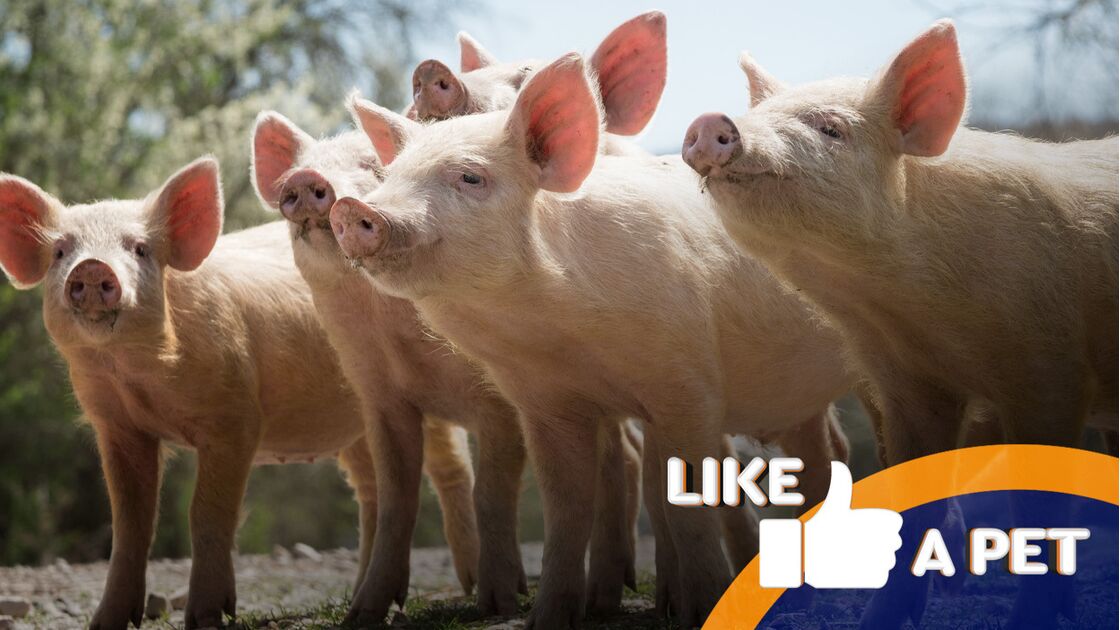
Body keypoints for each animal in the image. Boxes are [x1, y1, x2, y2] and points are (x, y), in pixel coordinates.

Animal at [0, 159, 481, 630]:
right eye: (60, 252)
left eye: (139, 249)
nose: (92, 267)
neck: (138, 378)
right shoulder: (116, 427)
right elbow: (130, 524)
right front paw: (104, 623)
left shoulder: (234, 416)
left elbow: (207, 513)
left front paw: (207, 618)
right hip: (358, 422)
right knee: (371, 490)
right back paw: (358, 605)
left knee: (452, 470)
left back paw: (470, 589)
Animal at [250, 114, 647, 621]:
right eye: (296, 170)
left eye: (374, 166)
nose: (303, 180)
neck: (394, 335)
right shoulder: (379, 396)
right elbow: (397, 500)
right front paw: (363, 613)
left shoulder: (500, 397)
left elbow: (491, 492)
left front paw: (498, 605)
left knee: (622, 456)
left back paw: (605, 596)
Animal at [331, 54, 857, 628]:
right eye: (390, 176)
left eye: (470, 176)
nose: (352, 209)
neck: (564, 336)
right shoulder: (547, 403)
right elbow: (567, 509)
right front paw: (547, 618)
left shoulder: (687, 383)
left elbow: (687, 502)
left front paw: (699, 610)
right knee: (823, 453)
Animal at [681, 20, 1117, 627]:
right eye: (763, 112)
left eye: (831, 128)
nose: (710, 122)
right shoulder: (909, 382)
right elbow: (913, 494)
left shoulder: (1052, 367)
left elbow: (1039, 505)